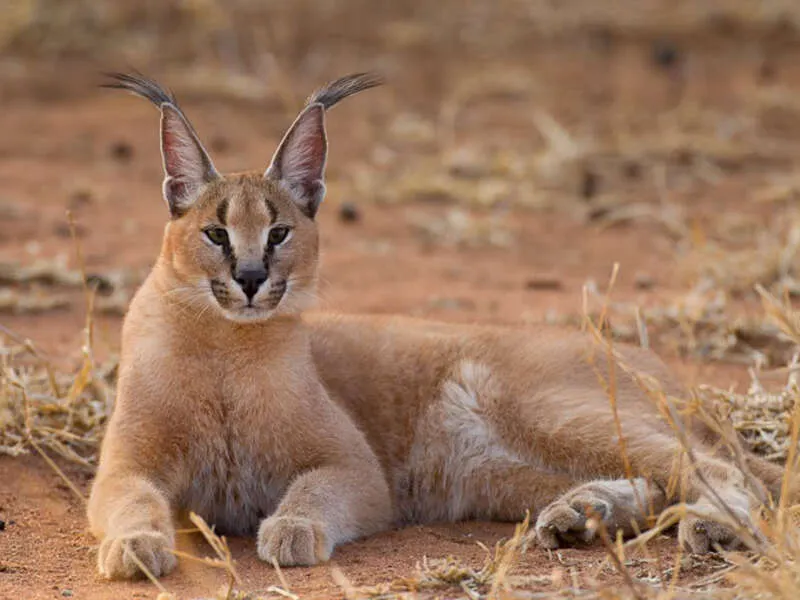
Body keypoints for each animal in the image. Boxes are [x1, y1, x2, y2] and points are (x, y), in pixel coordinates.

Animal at [87, 72, 788, 580]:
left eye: (279, 232)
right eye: (215, 233)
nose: (253, 278)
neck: (223, 349)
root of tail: (645, 358)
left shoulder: (354, 466)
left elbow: (312, 493)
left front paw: (292, 529)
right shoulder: (127, 465)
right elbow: (132, 501)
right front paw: (136, 544)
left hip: (537, 405)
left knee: (717, 466)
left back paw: (710, 525)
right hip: (497, 472)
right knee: (658, 479)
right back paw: (580, 514)